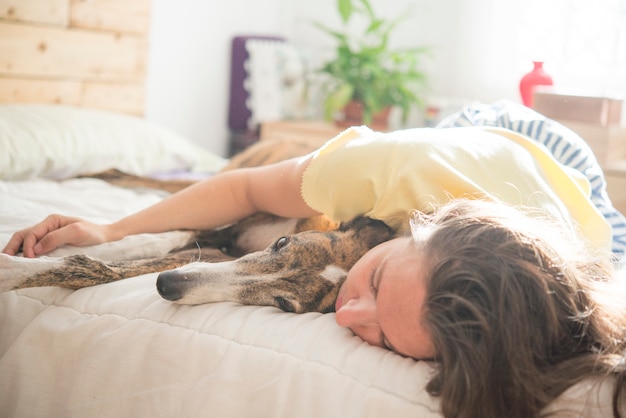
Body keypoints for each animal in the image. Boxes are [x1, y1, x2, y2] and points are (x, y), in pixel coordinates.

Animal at [1, 137, 394, 314]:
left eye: (283, 304)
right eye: (282, 243)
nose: (167, 285)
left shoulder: (218, 253)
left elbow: (105, 267)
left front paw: (16, 269)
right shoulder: (221, 231)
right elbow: (150, 238)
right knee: (132, 177)